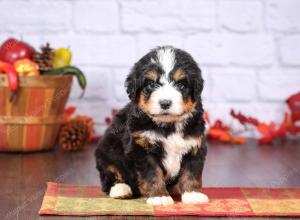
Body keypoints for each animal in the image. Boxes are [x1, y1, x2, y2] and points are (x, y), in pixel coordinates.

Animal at [96, 46, 209, 206]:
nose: (165, 103)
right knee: (110, 173)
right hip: (107, 151)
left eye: (180, 85)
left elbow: (191, 171)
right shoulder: (142, 147)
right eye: (151, 84)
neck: (168, 126)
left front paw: (193, 194)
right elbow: (153, 174)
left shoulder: (194, 144)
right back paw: (120, 189)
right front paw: (159, 196)